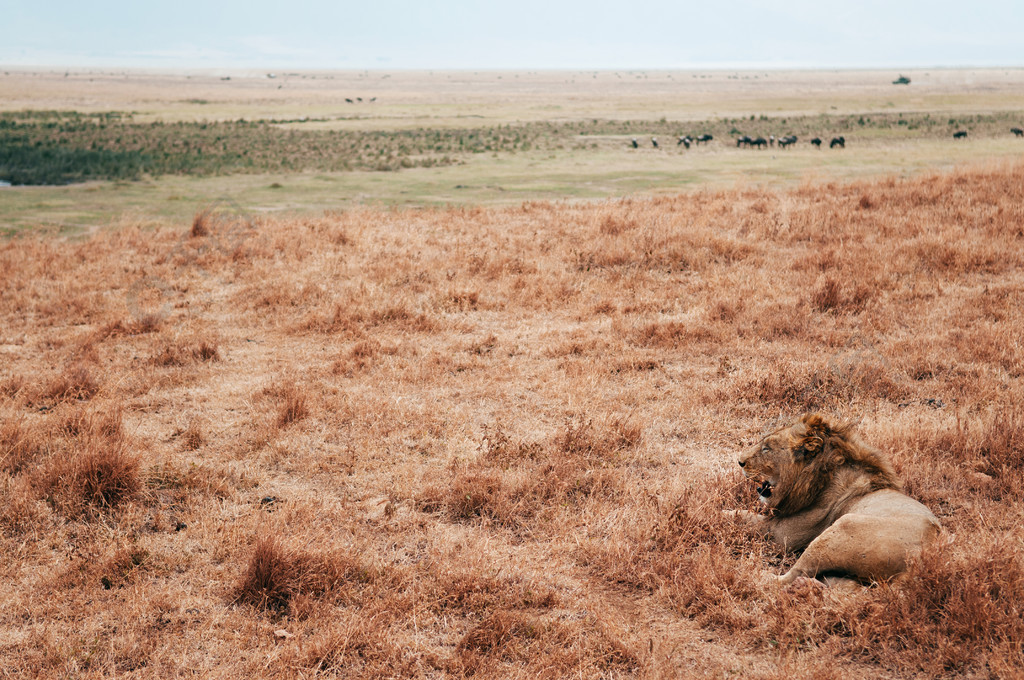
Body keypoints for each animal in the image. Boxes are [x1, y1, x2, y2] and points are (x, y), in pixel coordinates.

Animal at [737, 411, 942, 585]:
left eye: (766, 448)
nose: (740, 462)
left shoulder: (781, 535)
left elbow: (744, 516)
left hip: (842, 527)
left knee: (793, 575)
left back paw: (760, 576)